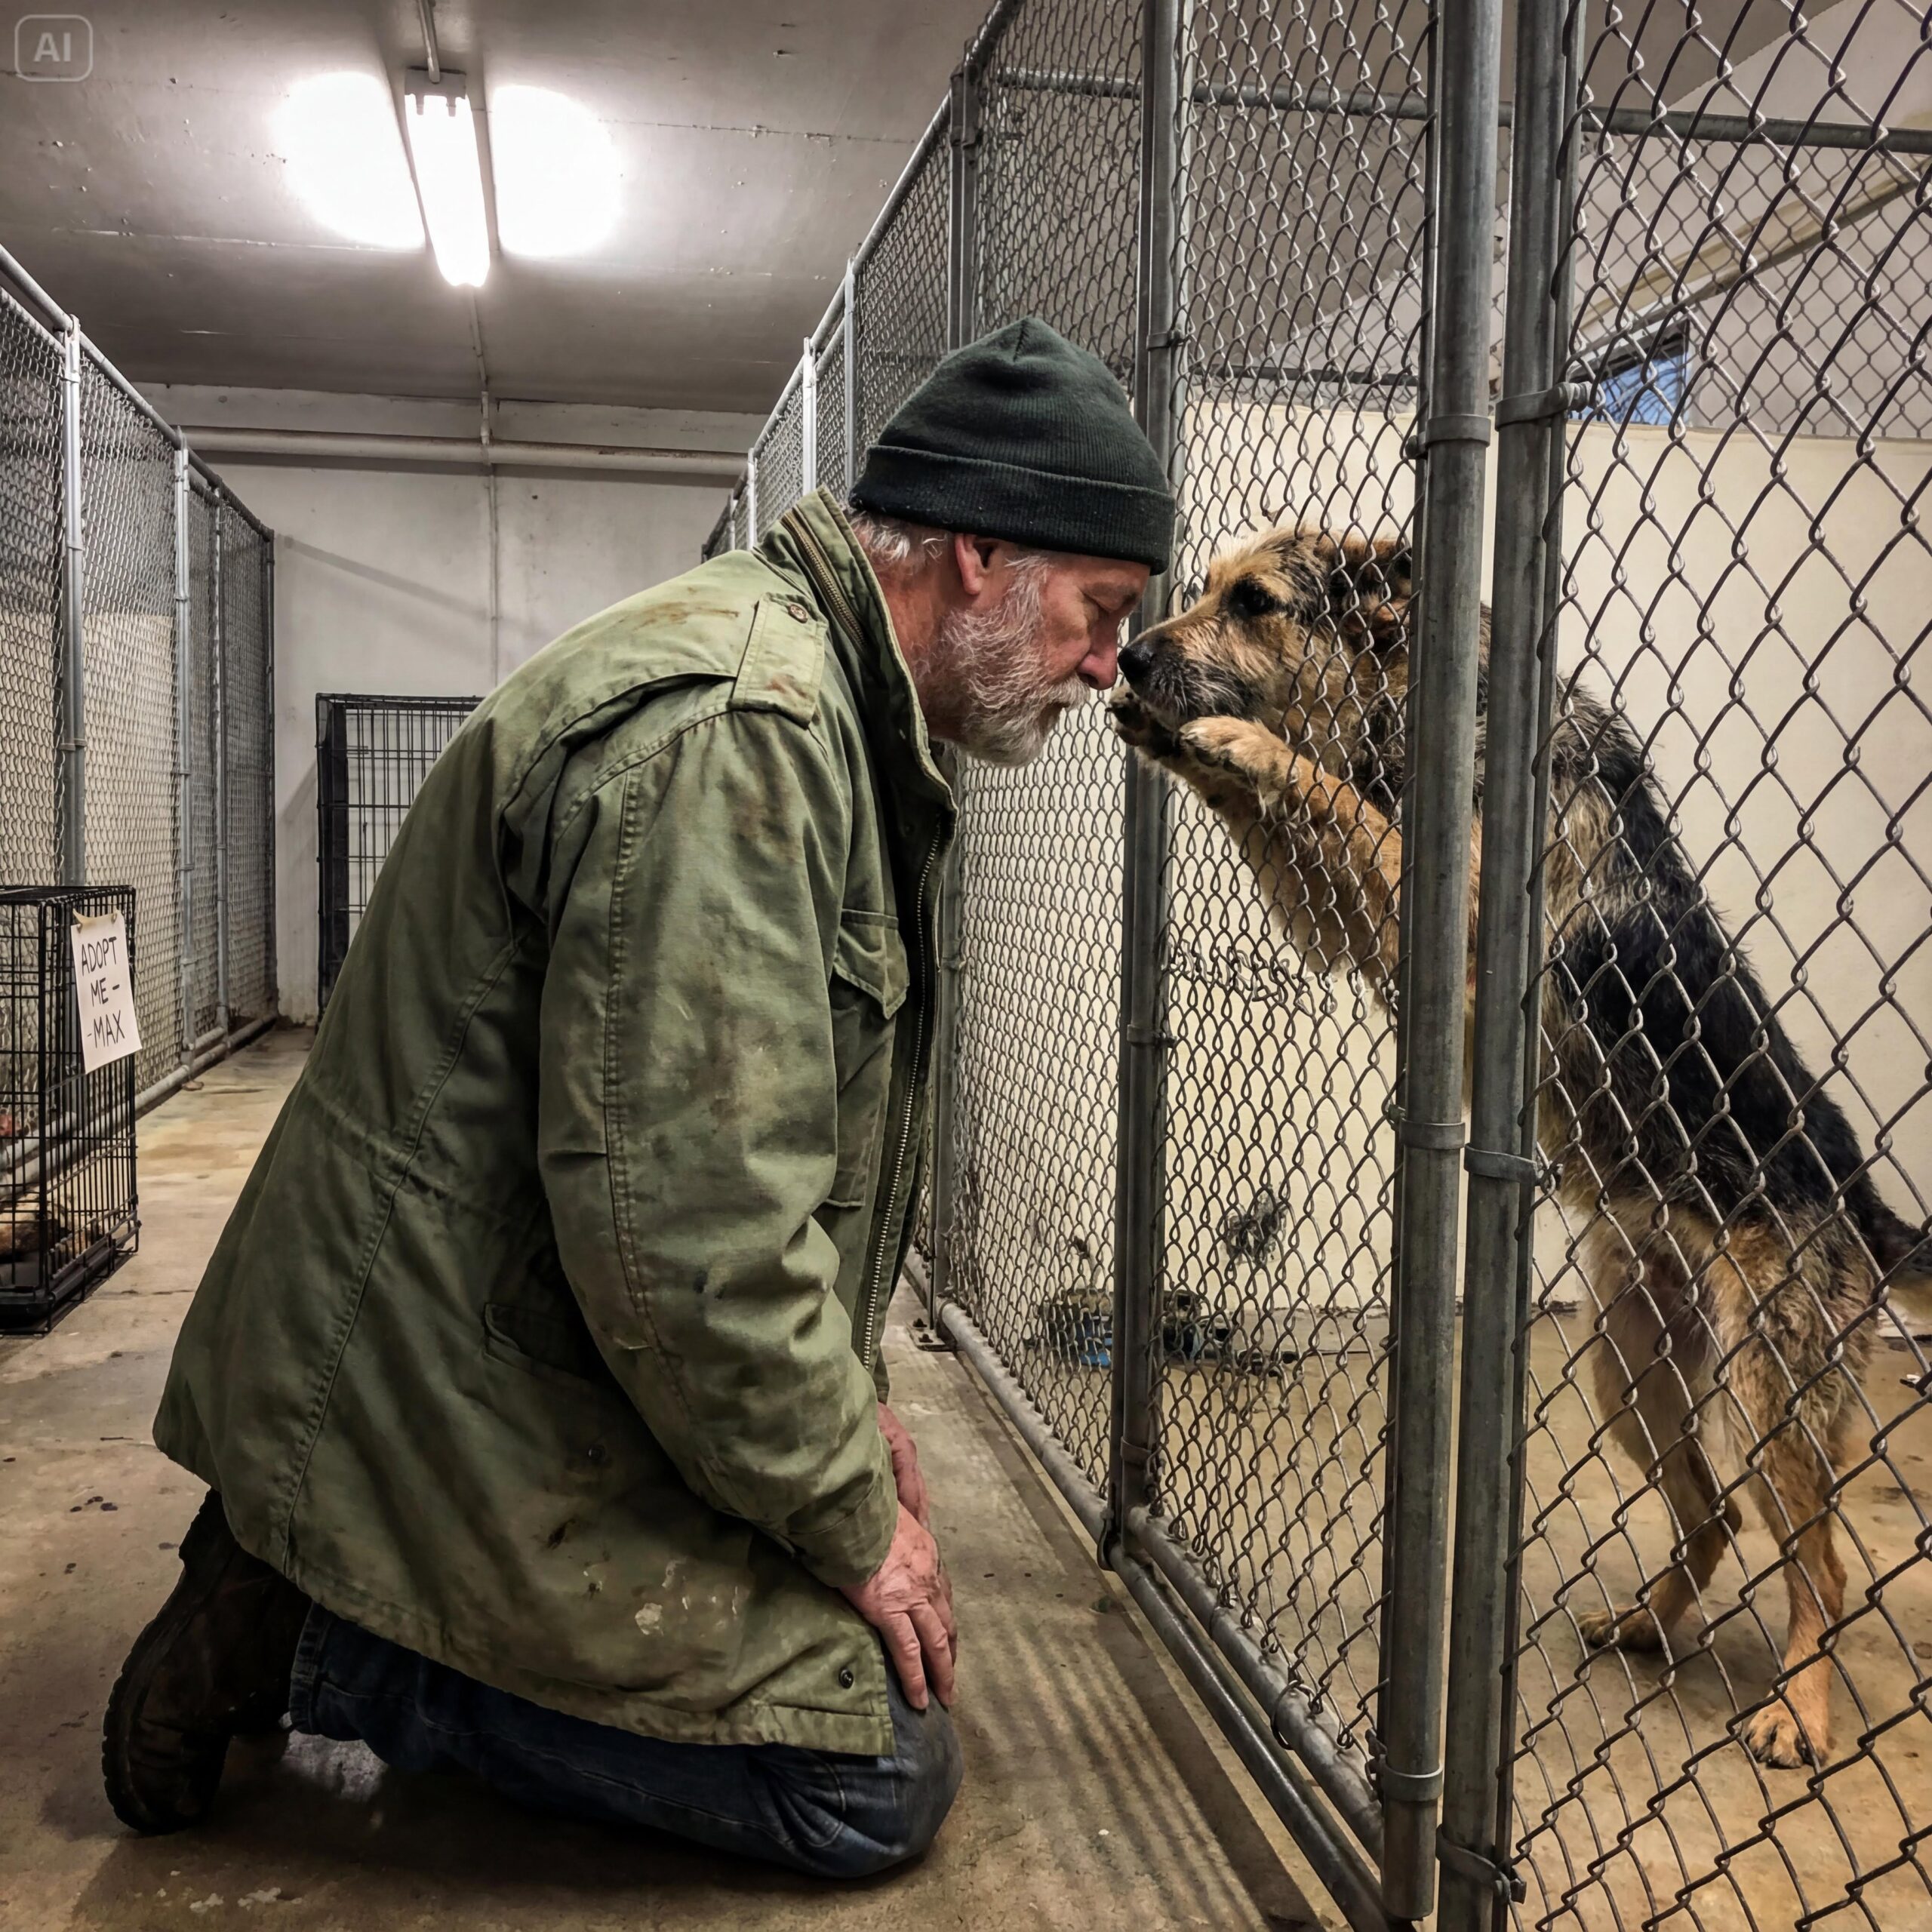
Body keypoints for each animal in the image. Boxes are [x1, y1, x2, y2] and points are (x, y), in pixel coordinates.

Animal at [1112, 522, 1929, 1768]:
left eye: (1253, 603)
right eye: (1205, 590)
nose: (1128, 656)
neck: (1425, 713)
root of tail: (1863, 1203)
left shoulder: (1452, 917)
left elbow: (1324, 796)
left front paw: (1247, 743)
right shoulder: (1355, 924)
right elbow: (1295, 819)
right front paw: (1186, 745)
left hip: (1767, 1392)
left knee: (1822, 1568)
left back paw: (1799, 1710)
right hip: (1630, 1367)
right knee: (1713, 1514)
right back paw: (1647, 1625)